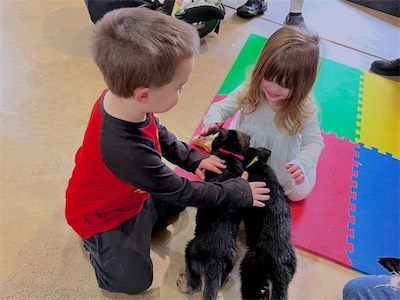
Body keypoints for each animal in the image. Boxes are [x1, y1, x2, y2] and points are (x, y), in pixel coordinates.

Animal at [176, 128, 248, 300]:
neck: (230, 151)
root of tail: (216, 262)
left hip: (190, 251)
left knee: (194, 285)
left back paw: (183, 283)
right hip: (231, 262)